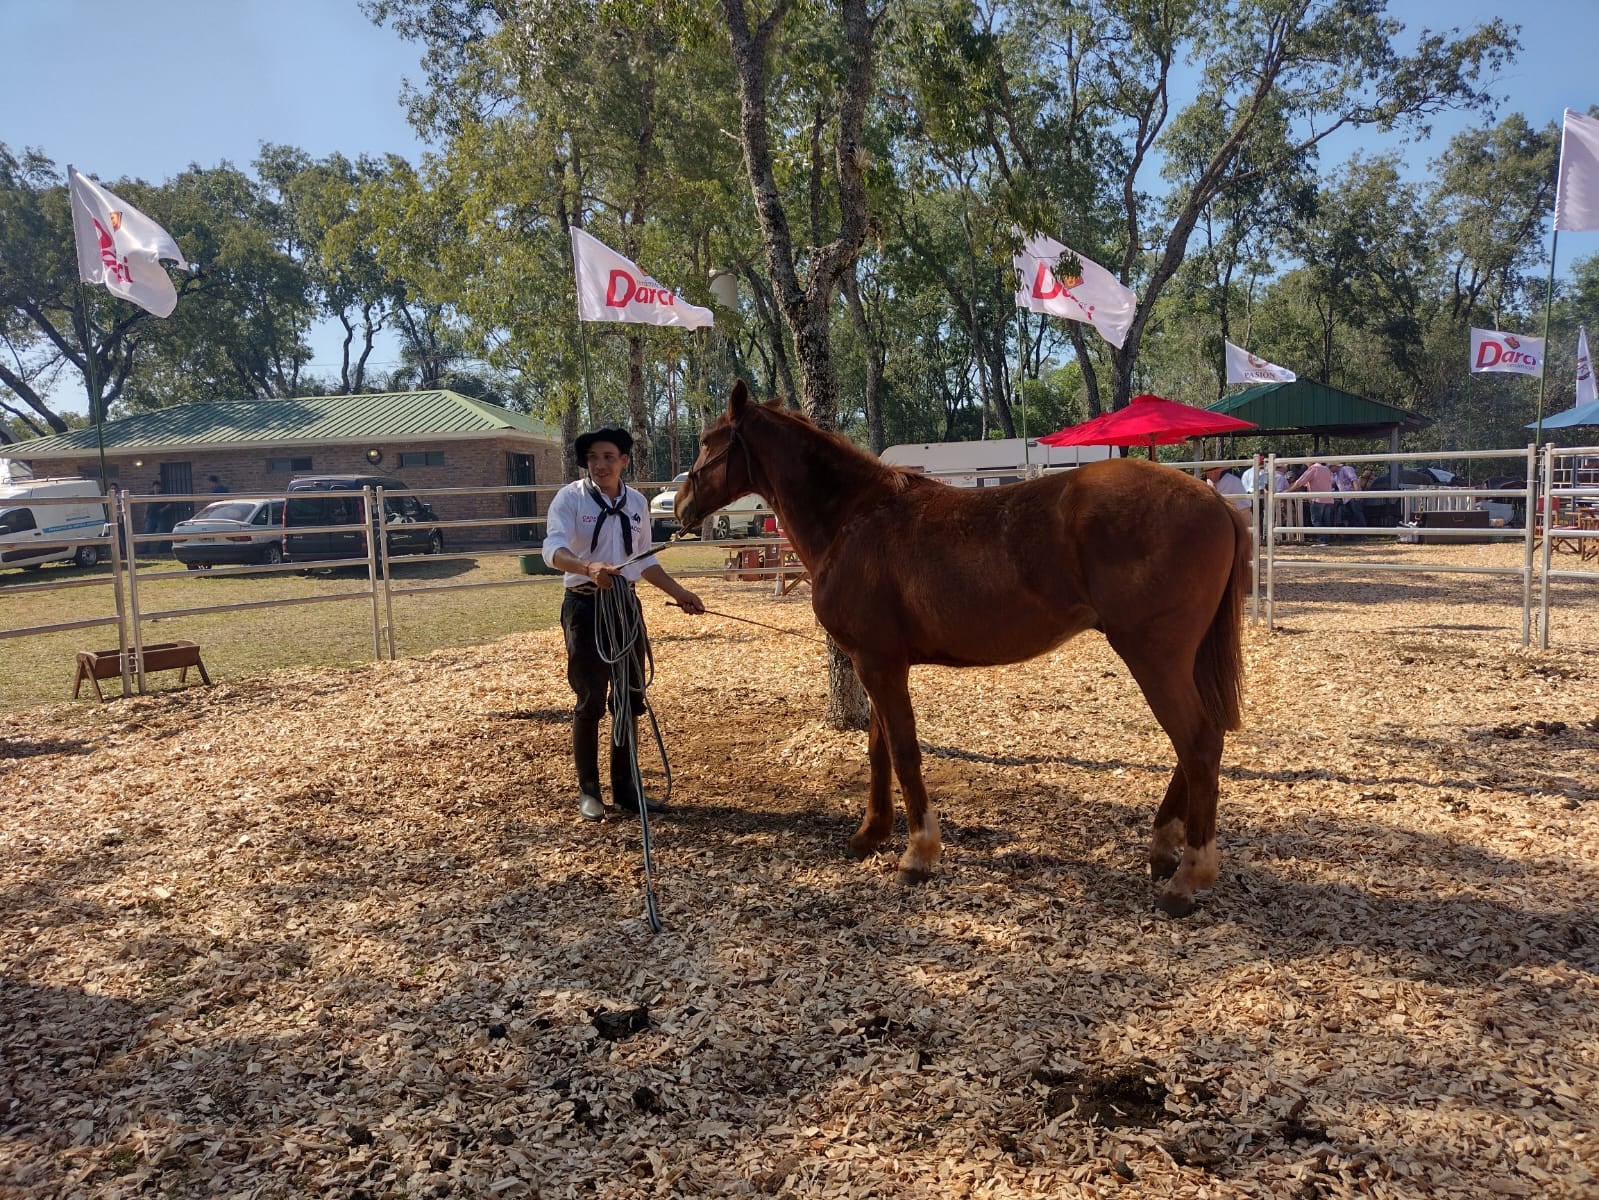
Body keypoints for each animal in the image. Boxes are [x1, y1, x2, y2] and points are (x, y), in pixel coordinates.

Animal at [674, 385, 1247, 921]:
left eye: (708, 441)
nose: (679, 506)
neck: (854, 518)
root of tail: (1213, 500)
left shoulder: (878, 664)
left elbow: (904, 751)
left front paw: (918, 854)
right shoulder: (877, 663)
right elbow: (880, 750)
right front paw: (870, 835)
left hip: (1154, 656)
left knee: (1198, 743)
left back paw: (1188, 876)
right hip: (1179, 659)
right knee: (1200, 741)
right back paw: (1164, 850)